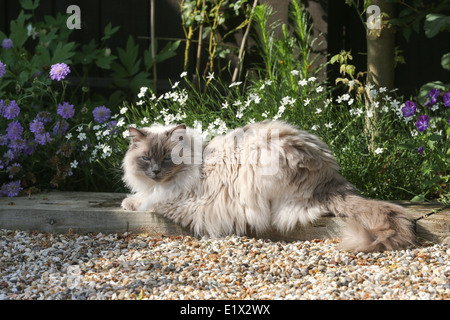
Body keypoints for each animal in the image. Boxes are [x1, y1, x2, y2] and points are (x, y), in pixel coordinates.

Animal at [121, 120, 416, 252]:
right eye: (146, 158)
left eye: (167, 158)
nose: (155, 172)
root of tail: (328, 178)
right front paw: (129, 200)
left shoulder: (174, 200)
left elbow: (147, 202)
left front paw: (130, 203)